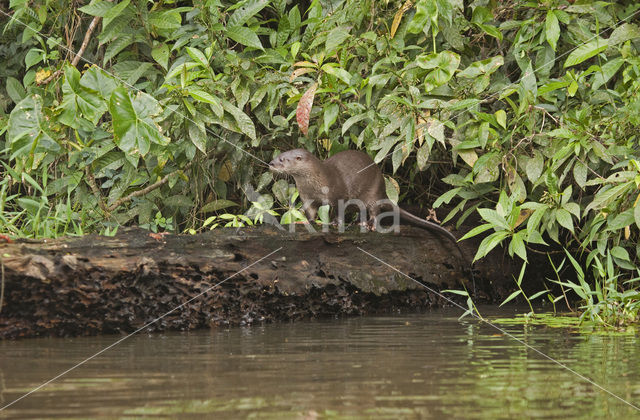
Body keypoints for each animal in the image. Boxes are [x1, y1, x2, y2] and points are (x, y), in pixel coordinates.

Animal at [268, 148, 472, 276]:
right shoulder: (307, 197)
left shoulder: (338, 194)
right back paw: (358, 222)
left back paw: (369, 225)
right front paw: (304, 222)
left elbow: (338, 211)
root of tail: (383, 187)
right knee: (361, 210)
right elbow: (310, 213)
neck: (316, 182)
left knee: (374, 210)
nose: (270, 163)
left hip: (372, 193)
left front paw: (335, 224)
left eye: (282, 159)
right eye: (278, 156)